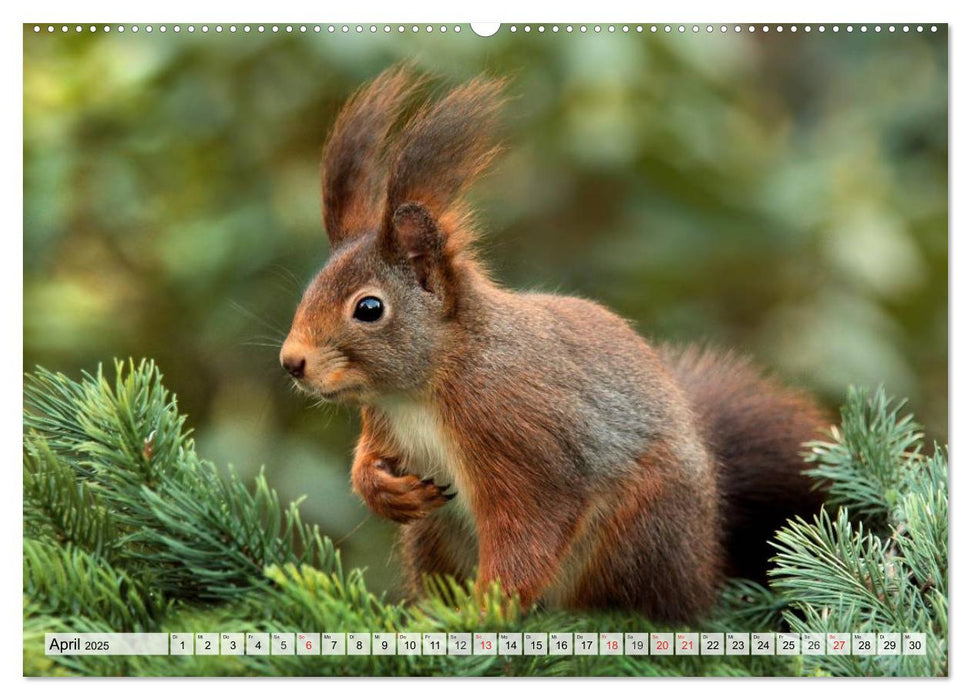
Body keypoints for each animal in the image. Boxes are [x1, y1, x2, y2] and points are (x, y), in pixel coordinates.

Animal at [280, 67, 828, 624]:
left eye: (369, 308)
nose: (292, 362)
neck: (424, 388)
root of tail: (704, 565)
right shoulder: (384, 422)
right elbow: (367, 460)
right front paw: (382, 490)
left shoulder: (519, 437)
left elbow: (529, 530)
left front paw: (483, 614)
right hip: (434, 535)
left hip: (638, 530)